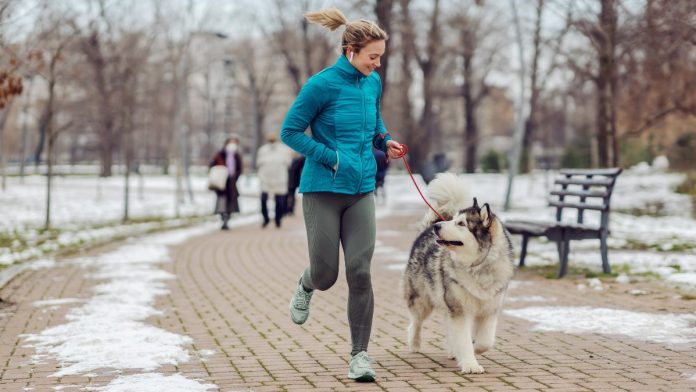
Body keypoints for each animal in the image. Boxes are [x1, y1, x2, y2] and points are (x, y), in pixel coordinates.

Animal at [400, 174, 512, 374]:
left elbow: (486, 341)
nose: (438, 226)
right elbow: (464, 340)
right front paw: (470, 364)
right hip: (423, 301)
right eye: (455, 220)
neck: (478, 266)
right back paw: (415, 343)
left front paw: (475, 349)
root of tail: (426, 229)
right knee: (416, 321)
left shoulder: (490, 310)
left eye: (461, 223)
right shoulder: (459, 310)